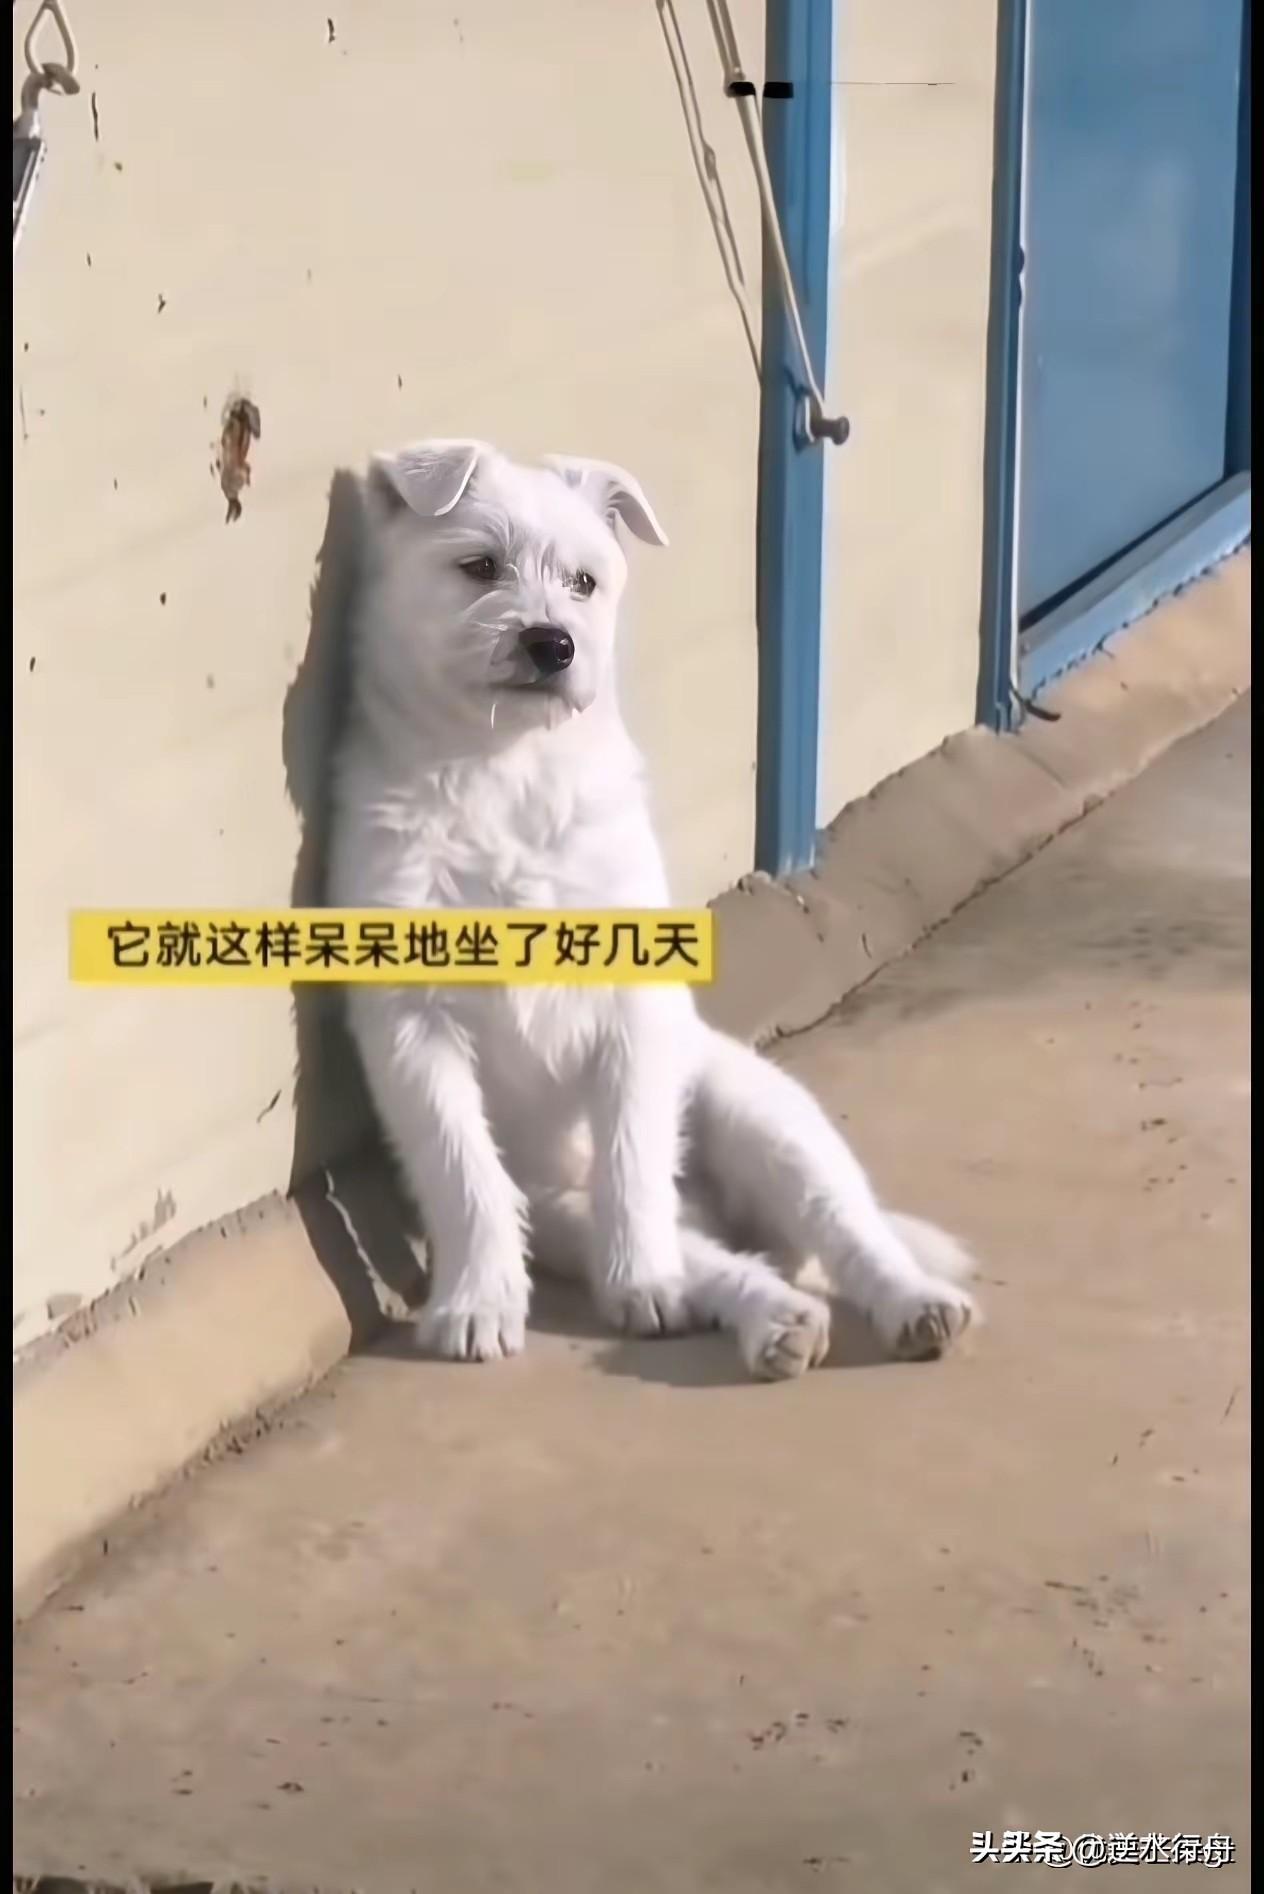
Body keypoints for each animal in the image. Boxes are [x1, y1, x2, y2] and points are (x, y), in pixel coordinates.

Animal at [328, 440, 976, 1378]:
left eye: (585, 582)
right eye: (479, 566)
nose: (552, 643)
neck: (504, 768)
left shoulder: (632, 1003)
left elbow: (633, 1153)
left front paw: (631, 1280)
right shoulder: (412, 1023)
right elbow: (463, 1171)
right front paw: (478, 1302)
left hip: (768, 1119)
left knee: (843, 1226)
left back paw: (905, 1302)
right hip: (565, 1210)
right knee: (707, 1255)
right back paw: (770, 1319)